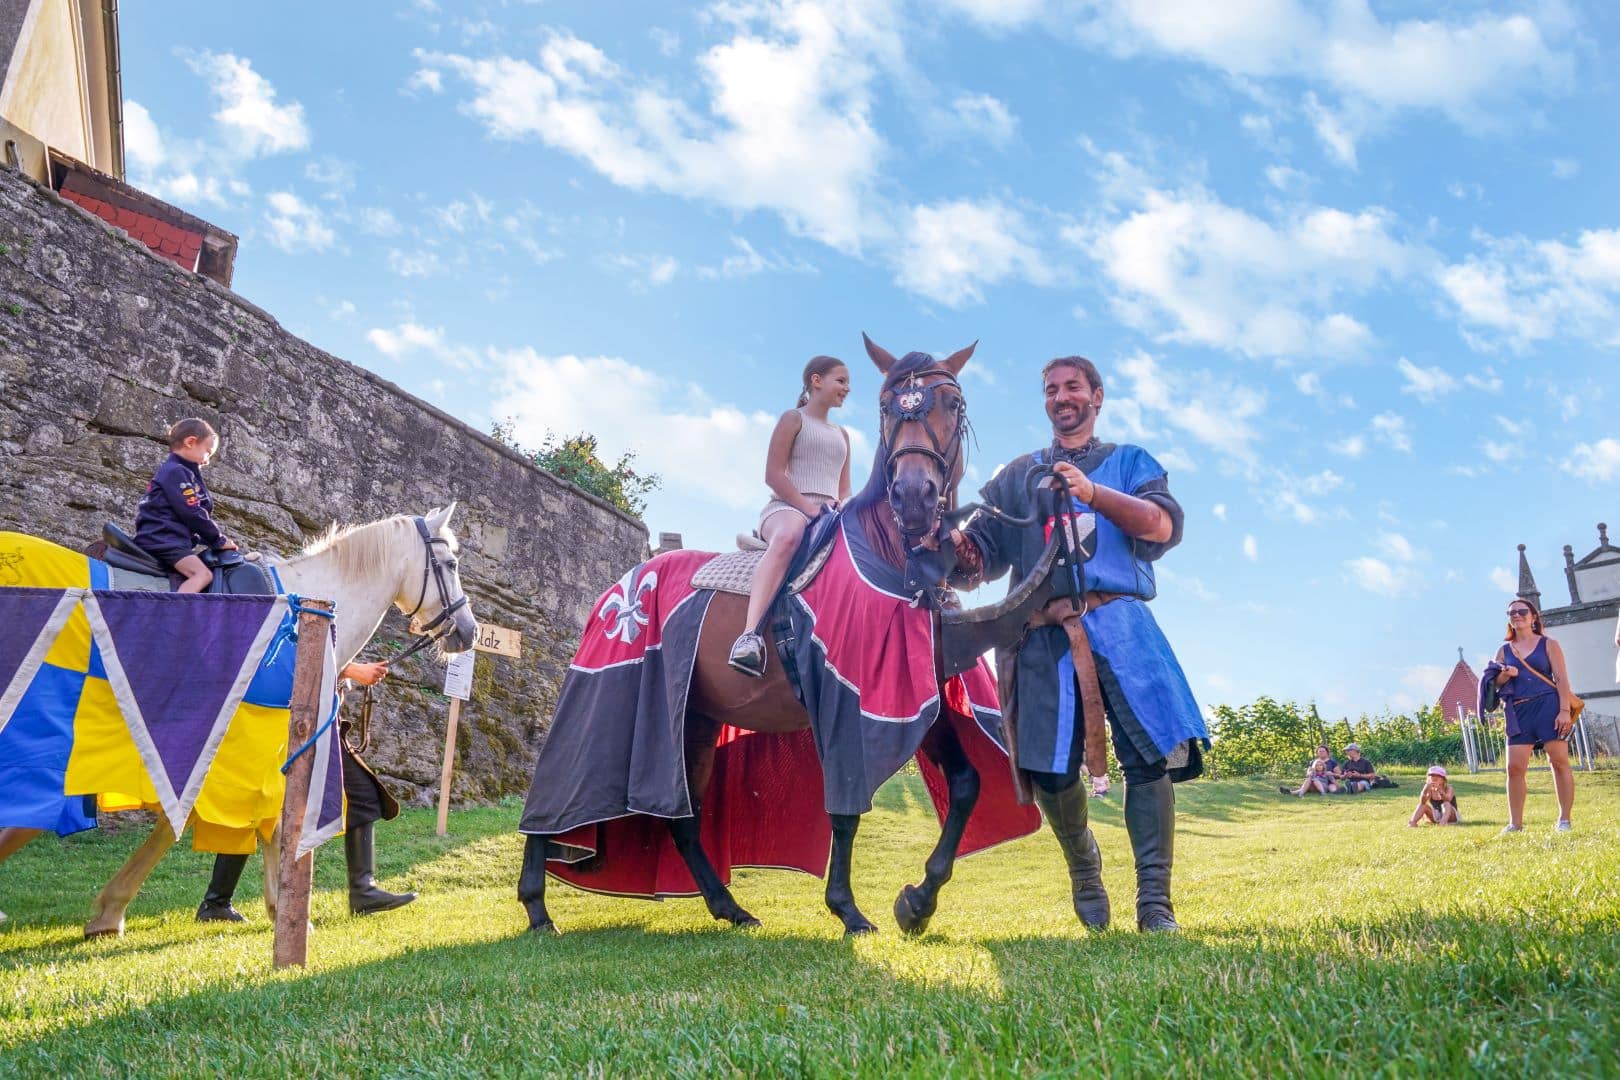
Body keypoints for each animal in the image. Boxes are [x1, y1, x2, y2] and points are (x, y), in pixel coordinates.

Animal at [524, 338, 991, 939]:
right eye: (888, 408)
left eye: (952, 404)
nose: (913, 497)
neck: (891, 561)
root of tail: (616, 591)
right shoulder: (846, 705)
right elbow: (845, 809)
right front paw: (848, 909)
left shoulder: (914, 701)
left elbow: (966, 785)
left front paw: (918, 900)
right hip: (607, 696)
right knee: (556, 791)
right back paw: (537, 906)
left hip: (692, 725)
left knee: (683, 820)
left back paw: (729, 907)